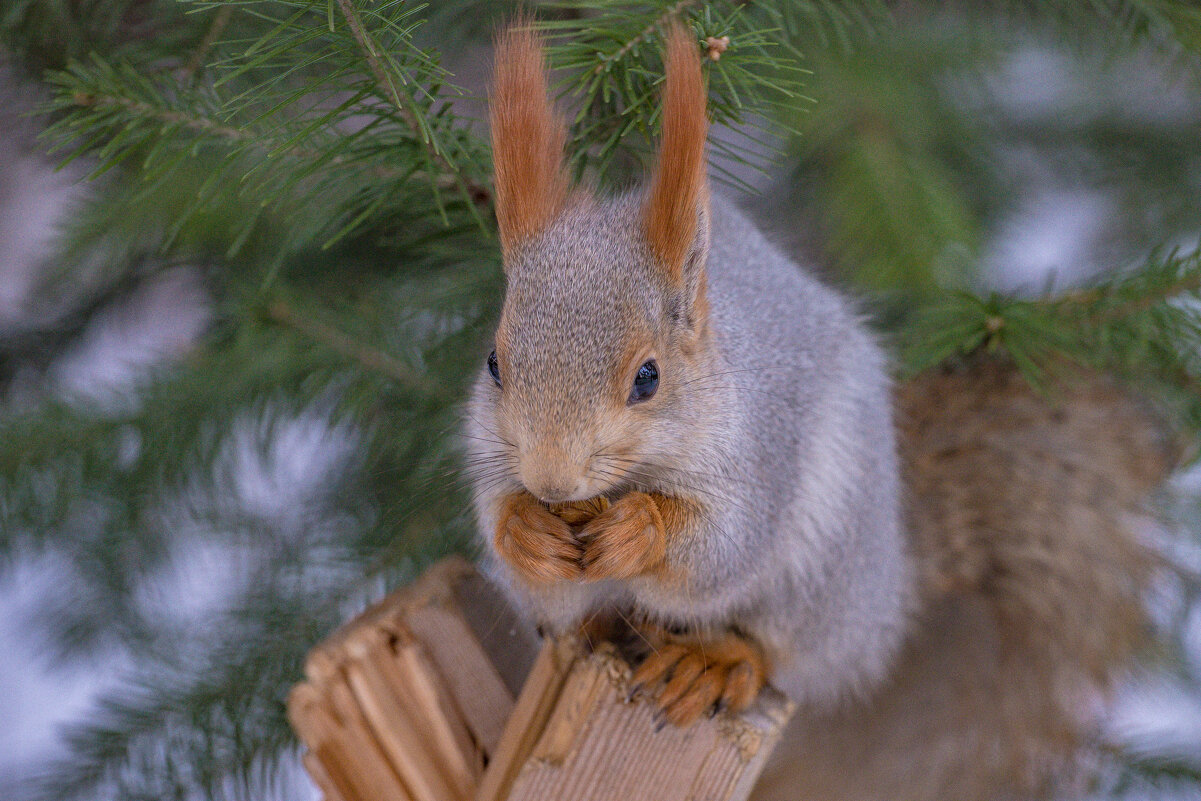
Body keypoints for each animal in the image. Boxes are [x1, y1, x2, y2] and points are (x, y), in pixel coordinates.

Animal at [461, 20, 1172, 801]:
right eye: (494, 363)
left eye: (647, 377)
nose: (552, 481)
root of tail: (888, 592)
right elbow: (518, 553)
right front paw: (526, 530)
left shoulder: (760, 457)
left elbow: (721, 547)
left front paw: (639, 528)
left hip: (821, 575)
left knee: (781, 655)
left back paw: (712, 662)